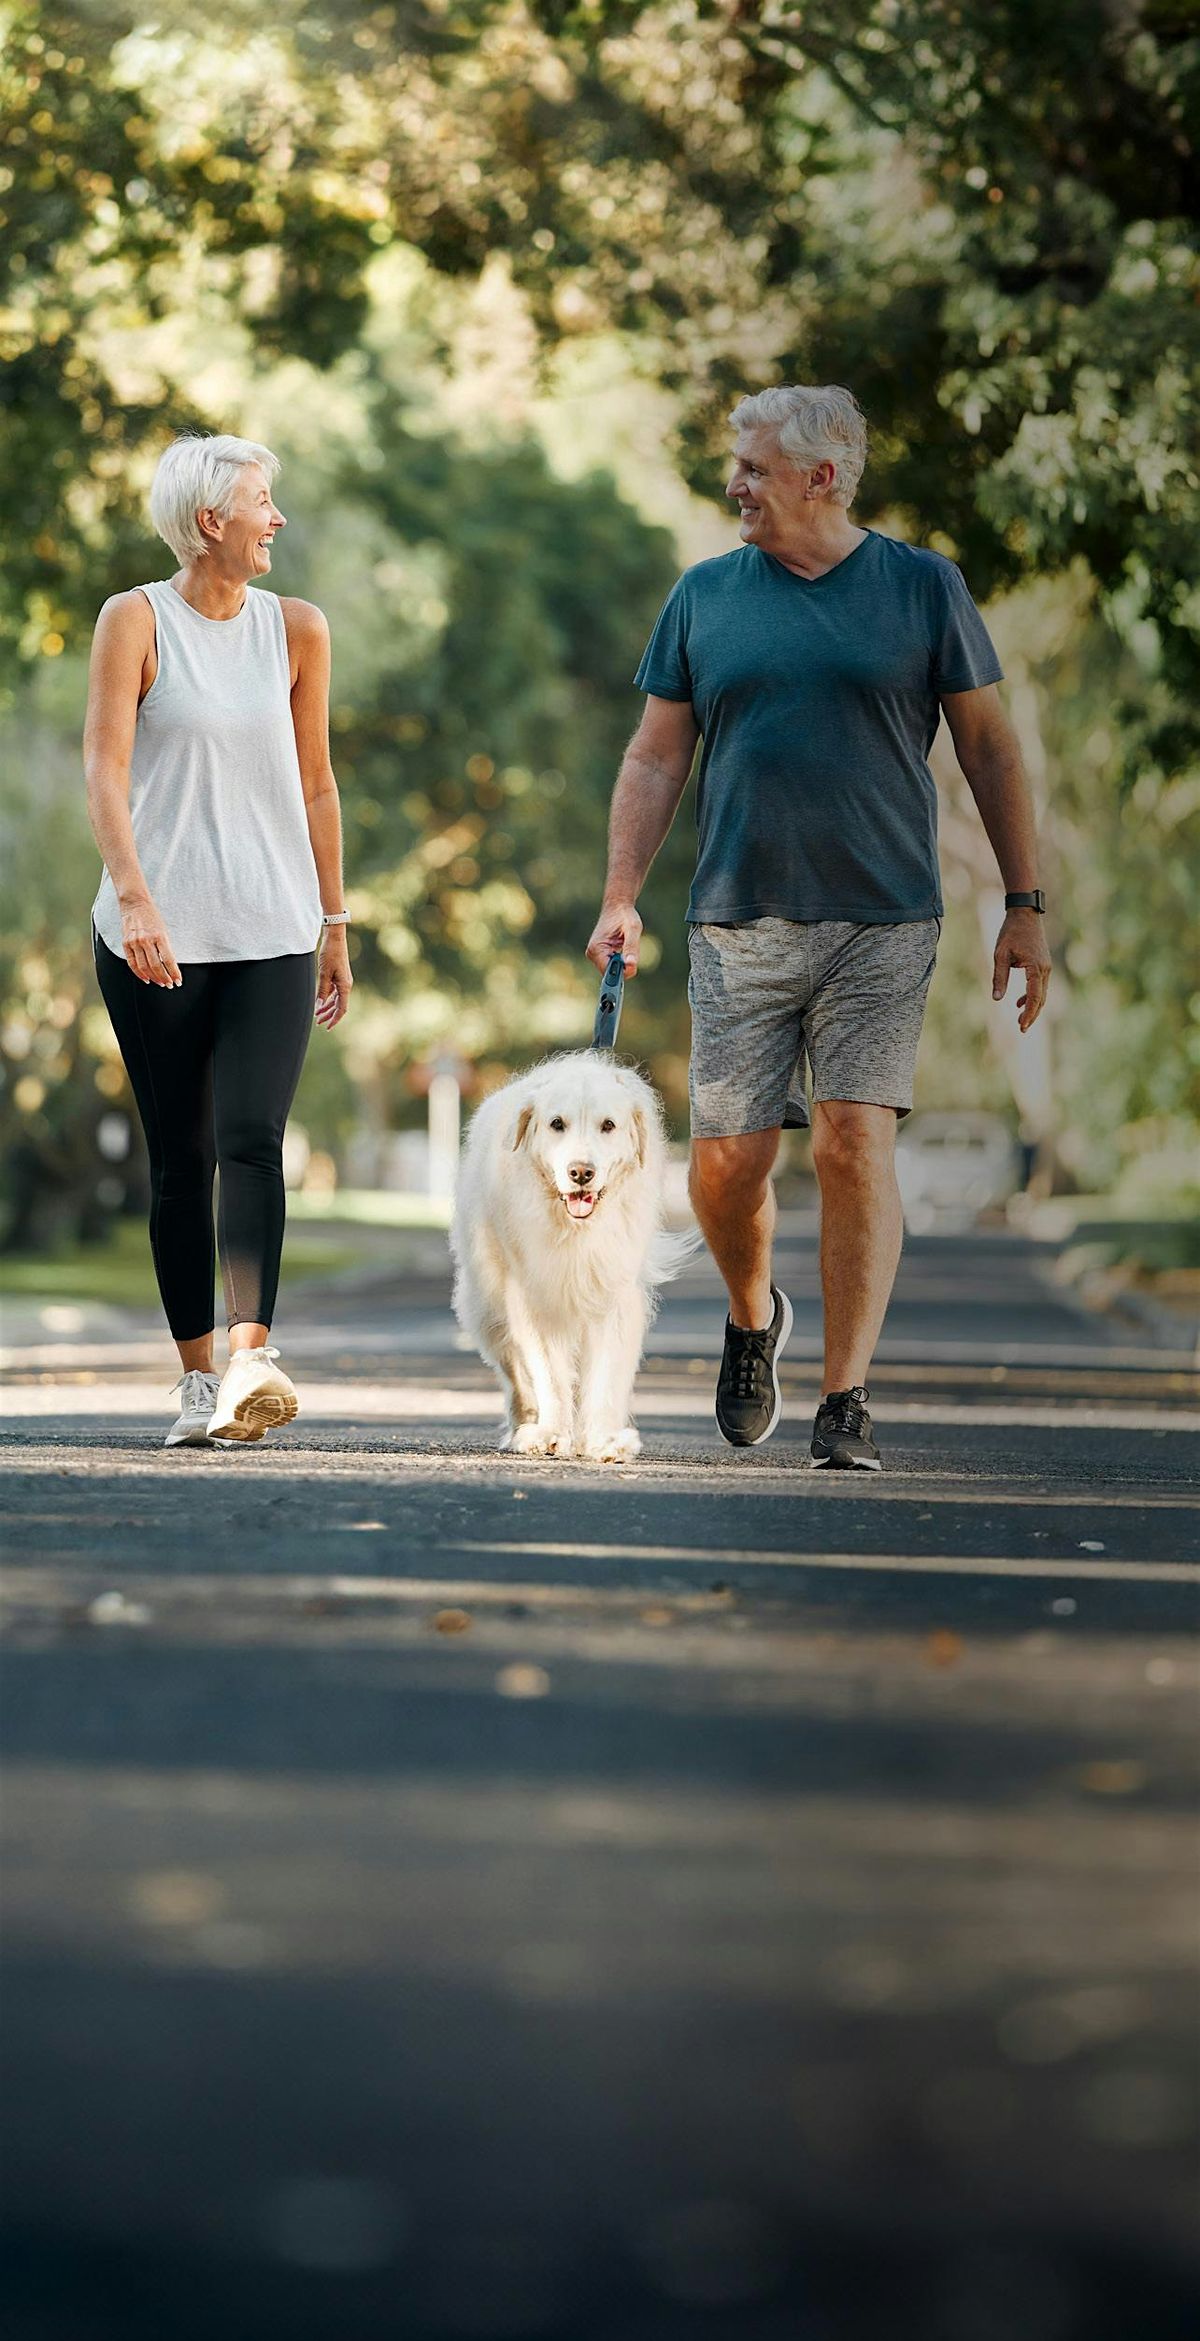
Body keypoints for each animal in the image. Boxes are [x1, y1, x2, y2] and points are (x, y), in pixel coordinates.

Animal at [449, 1058, 692, 1460]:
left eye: (608, 1125)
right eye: (556, 1124)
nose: (581, 1173)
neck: (576, 1230)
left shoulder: (614, 1297)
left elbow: (606, 1375)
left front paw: (604, 1439)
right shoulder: (535, 1299)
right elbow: (548, 1373)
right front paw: (550, 1433)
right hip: (488, 1308)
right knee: (516, 1374)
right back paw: (524, 1425)